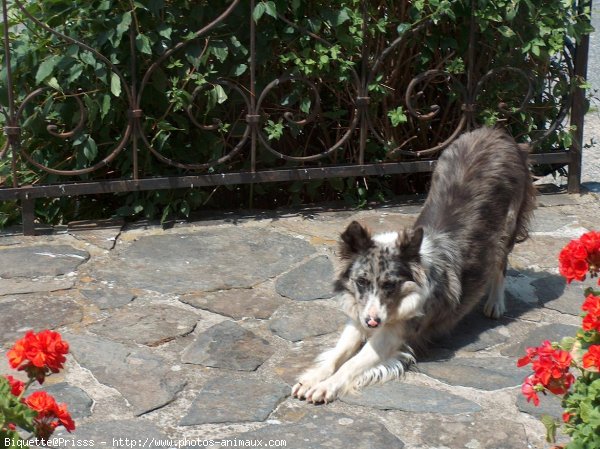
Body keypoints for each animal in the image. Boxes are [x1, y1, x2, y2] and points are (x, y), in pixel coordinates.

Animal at [290, 125, 536, 402]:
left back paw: (495, 303)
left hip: (507, 226)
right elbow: (337, 353)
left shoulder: (395, 335)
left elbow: (352, 363)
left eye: (390, 284)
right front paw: (312, 377)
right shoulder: (359, 317)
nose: (372, 323)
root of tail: (494, 131)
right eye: (361, 281)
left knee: (500, 263)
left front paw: (326, 386)